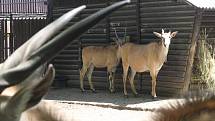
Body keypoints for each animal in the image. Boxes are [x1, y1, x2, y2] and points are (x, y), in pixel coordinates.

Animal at [0, 0, 131, 120]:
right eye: (118, 43)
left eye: (124, 43)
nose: (122, 47)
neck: (115, 51)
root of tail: (84, 48)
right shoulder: (109, 67)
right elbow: (110, 77)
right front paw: (111, 90)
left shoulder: (113, 68)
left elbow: (112, 77)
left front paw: (113, 90)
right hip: (87, 63)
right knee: (82, 72)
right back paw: (83, 90)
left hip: (92, 65)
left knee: (88, 74)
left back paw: (93, 89)